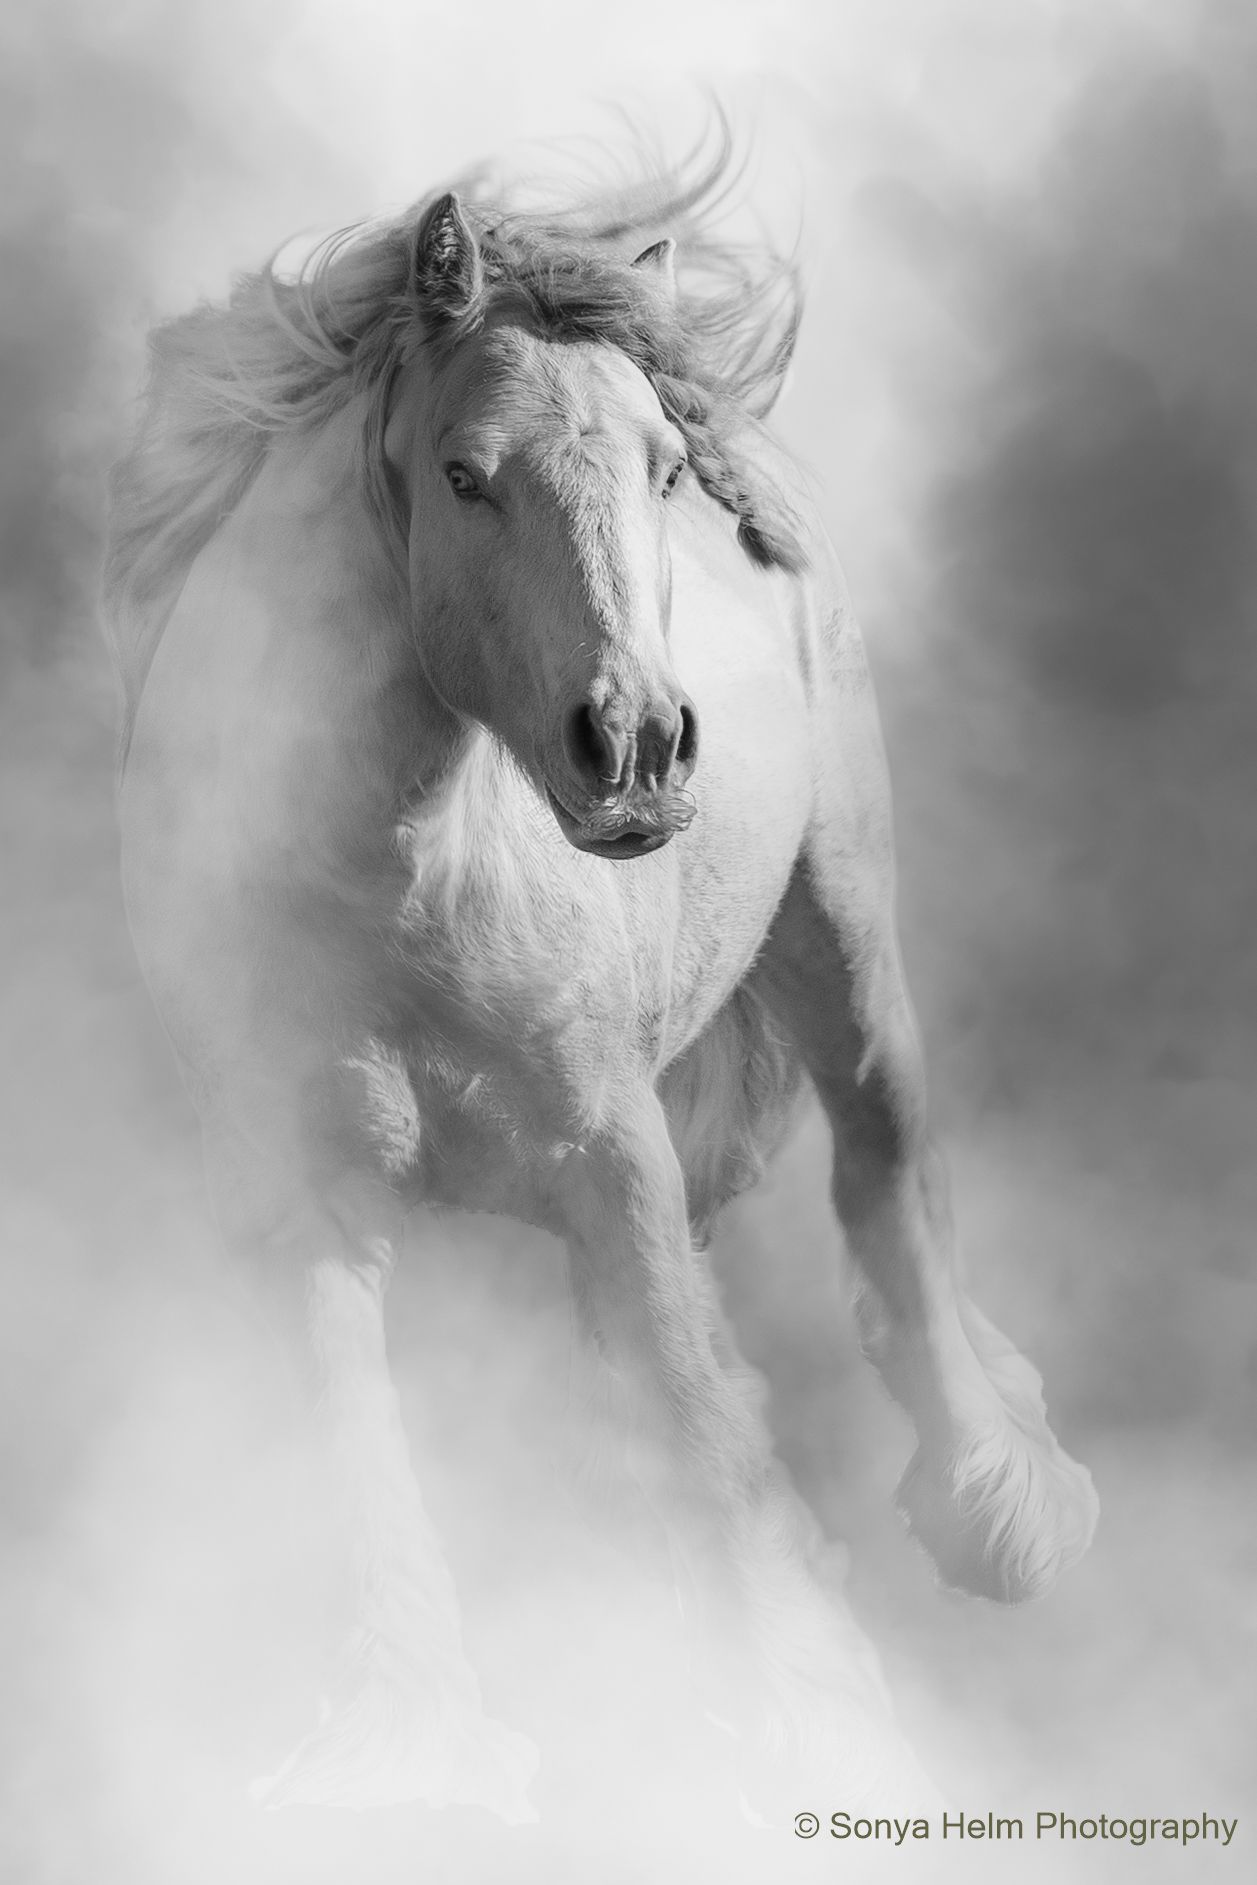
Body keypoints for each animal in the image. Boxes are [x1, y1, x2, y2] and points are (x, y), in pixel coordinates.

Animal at [103, 137, 1097, 1823]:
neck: (393, 889)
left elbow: (707, 1419)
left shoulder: (611, 1147)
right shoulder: (302, 1197)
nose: (635, 745)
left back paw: (997, 1505)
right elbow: (360, 1455)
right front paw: (408, 1757)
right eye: (462, 473)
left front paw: (814, 1731)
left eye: (657, 469)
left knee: (886, 1172)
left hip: (843, 937)